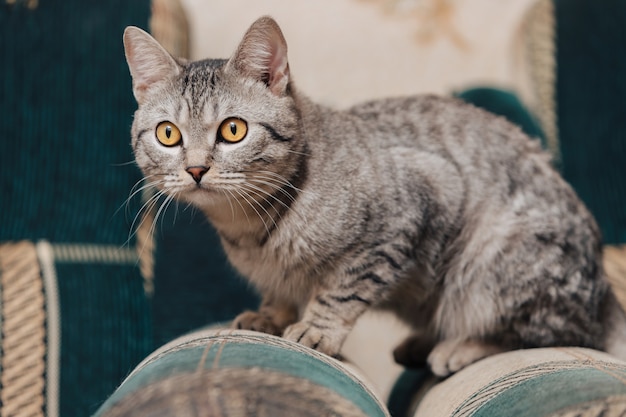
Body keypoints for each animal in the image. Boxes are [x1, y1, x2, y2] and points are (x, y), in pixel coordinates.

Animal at [122, 16, 624, 376]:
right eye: (168, 134)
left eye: (233, 130)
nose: (196, 168)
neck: (250, 228)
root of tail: (605, 294)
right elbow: (279, 288)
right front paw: (271, 314)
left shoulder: (409, 211)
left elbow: (342, 289)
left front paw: (317, 328)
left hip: (494, 264)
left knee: (562, 330)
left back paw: (460, 346)